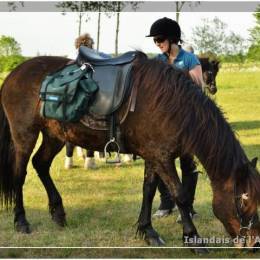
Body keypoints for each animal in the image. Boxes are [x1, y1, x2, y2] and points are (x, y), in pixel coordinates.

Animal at [0, 52, 260, 250]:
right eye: (244, 200)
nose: (255, 243)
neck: (172, 106)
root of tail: (14, 73)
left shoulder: (154, 156)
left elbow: (149, 190)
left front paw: (147, 231)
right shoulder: (162, 158)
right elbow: (180, 195)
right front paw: (192, 238)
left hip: (55, 136)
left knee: (41, 164)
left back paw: (58, 213)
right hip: (25, 135)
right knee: (20, 174)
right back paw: (21, 221)